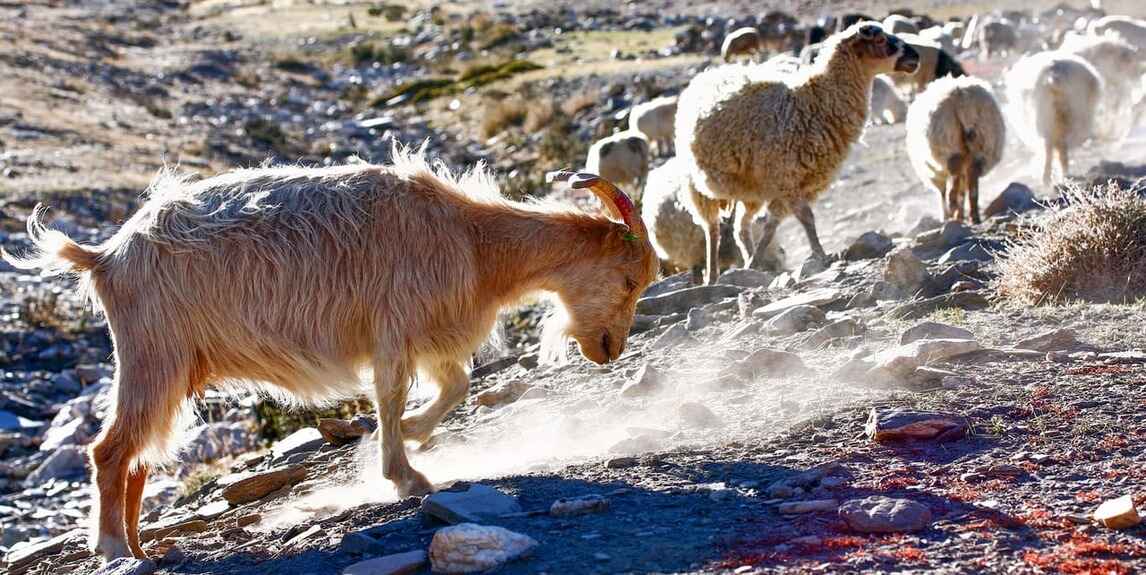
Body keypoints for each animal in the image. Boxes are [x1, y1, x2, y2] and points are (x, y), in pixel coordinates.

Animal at [673, 22, 916, 282]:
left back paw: (748, 260)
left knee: (741, 226)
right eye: (880, 40)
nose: (916, 57)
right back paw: (713, 274)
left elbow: (771, 227)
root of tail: (707, 74)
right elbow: (807, 218)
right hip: (698, 185)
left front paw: (755, 261)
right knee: (712, 229)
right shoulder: (787, 178)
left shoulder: (793, 183)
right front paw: (821, 255)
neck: (813, 102)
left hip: (750, 190)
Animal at [903, 73, 1003, 222]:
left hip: (949, 147)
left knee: (951, 190)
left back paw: (954, 212)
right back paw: (974, 217)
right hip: (983, 144)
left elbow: (942, 193)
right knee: (972, 186)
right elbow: (962, 191)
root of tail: (961, 97)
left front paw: (946, 217)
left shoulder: (934, 173)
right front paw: (959, 215)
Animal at [1008, 51, 1104, 183]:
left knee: (1050, 146)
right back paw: (1061, 175)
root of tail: (1054, 74)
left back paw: (1048, 177)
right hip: (1072, 114)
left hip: (1045, 117)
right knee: (1060, 146)